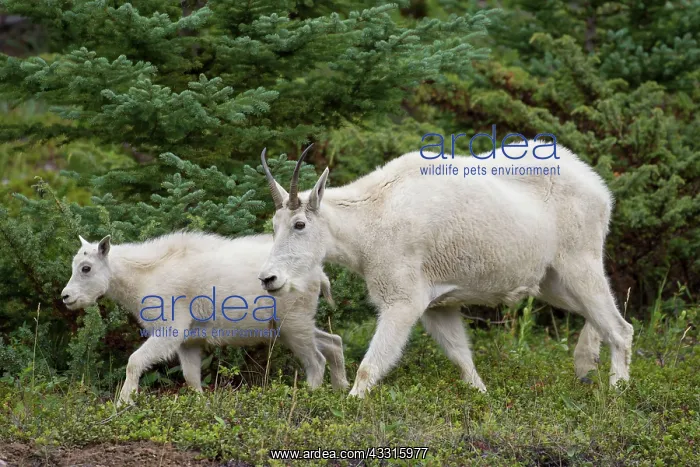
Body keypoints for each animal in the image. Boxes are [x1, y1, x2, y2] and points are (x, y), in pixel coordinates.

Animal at [61, 232, 348, 405]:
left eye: (86, 268)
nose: (66, 296)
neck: (143, 276)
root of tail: (320, 274)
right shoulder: (189, 342)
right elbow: (191, 378)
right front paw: (200, 404)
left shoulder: (171, 329)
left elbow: (134, 361)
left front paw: (123, 402)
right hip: (292, 326)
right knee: (333, 342)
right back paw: (342, 392)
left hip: (294, 323)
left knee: (316, 361)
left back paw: (309, 398)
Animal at [258, 145, 634, 397]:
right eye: (274, 226)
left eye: (300, 224)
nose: (269, 279)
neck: (369, 221)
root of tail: (601, 190)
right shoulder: (438, 306)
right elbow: (461, 356)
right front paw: (483, 395)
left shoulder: (403, 300)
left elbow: (370, 366)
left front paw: (351, 403)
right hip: (551, 280)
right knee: (598, 317)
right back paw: (586, 364)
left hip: (580, 260)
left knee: (620, 327)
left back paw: (617, 392)